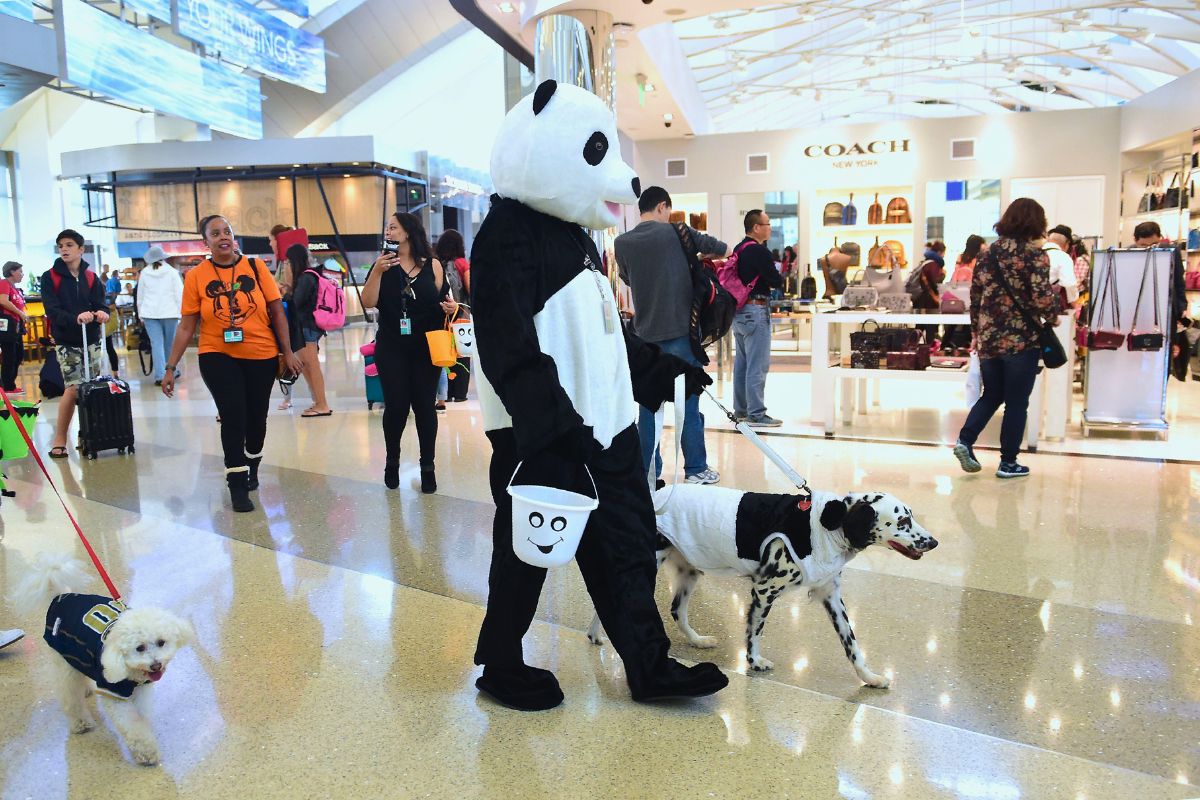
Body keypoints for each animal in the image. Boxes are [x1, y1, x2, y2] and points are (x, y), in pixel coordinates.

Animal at [12, 554, 192, 767]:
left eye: (161, 642)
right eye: (139, 648)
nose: (156, 665)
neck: (131, 672)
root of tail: (58, 597)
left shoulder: (140, 691)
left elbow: (140, 716)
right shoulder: (115, 693)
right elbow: (133, 725)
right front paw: (146, 752)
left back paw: (88, 689)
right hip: (65, 662)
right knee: (69, 696)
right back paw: (81, 723)